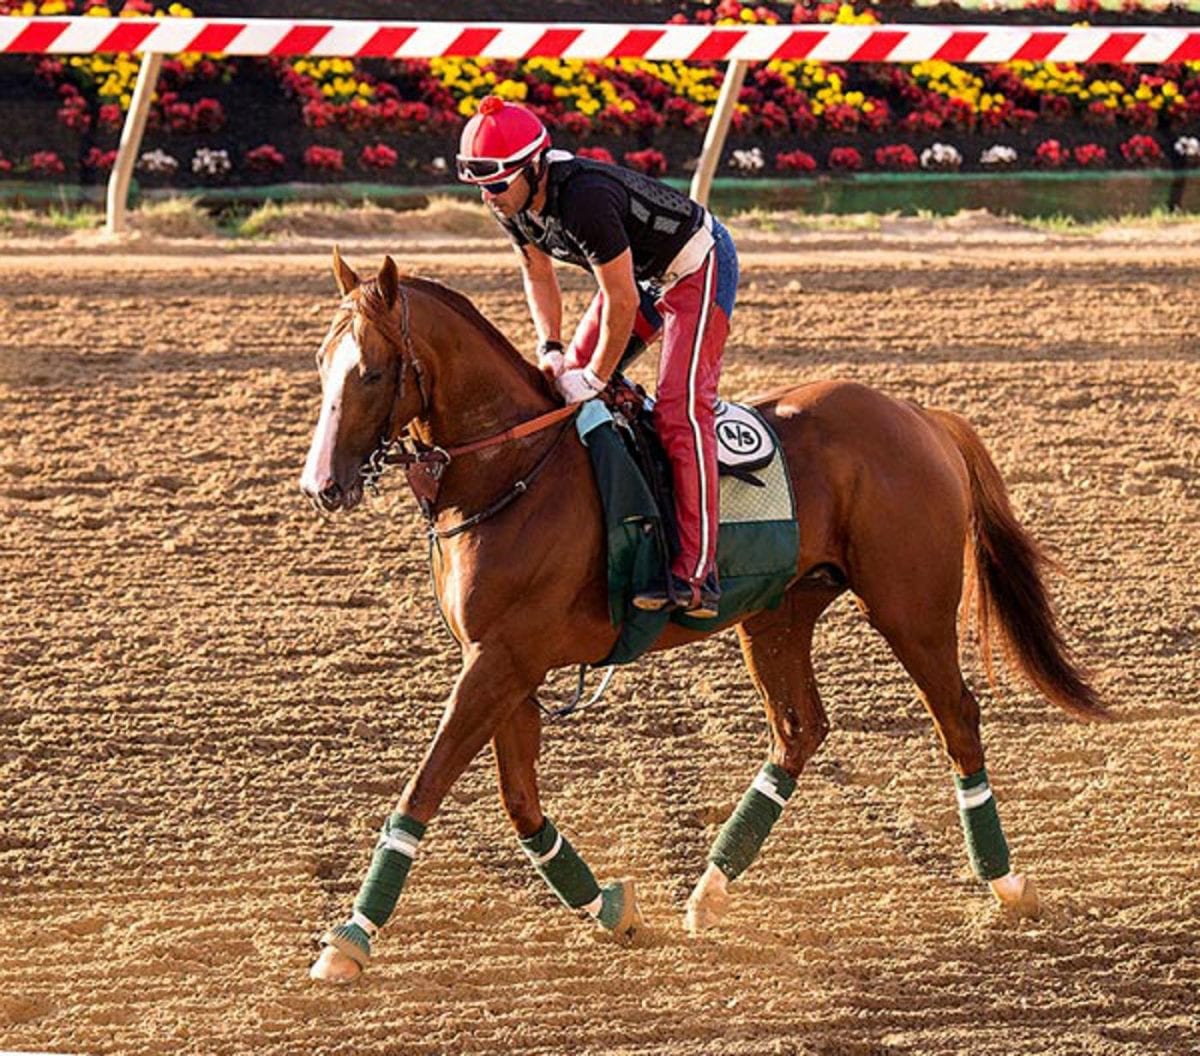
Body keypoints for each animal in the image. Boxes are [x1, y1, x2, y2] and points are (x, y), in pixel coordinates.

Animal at [297, 252, 1099, 984]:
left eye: (372, 372)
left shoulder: (501, 660)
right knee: (800, 729)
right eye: (321, 363)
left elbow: (424, 788)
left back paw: (1005, 882)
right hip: (778, 614)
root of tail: (918, 416)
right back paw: (710, 889)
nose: (321, 485)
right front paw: (611, 909)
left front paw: (350, 938)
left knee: (957, 717)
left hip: (911, 606)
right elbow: (521, 804)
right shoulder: (504, 666)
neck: (514, 470)